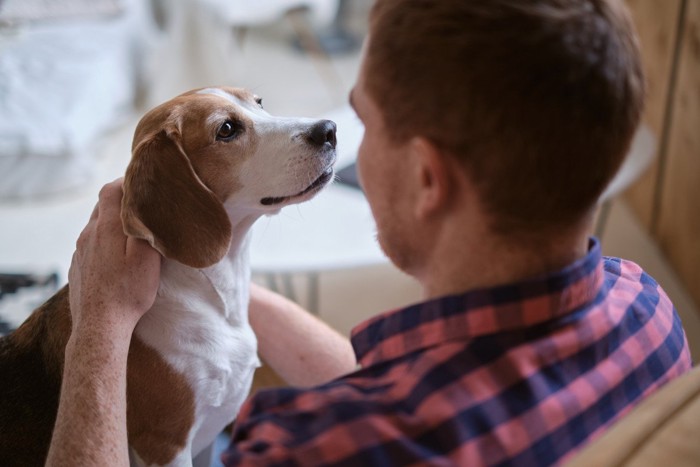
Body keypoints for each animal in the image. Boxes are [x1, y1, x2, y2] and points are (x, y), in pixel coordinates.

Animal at [0, 86, 340, 466]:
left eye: (259, 102)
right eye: (226, 130)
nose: (328, 129)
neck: (214, 297)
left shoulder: (206, 442)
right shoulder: (167, 445)